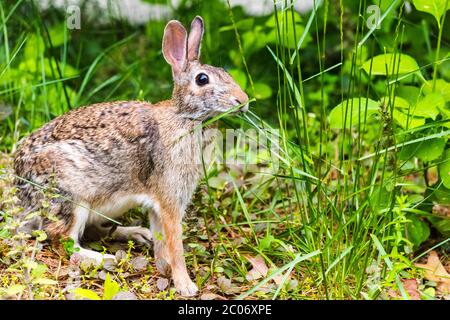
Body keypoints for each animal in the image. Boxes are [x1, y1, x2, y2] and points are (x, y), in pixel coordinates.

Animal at [13, 16, 250, 298]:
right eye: (202, 79)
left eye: (226, 73)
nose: (243, 100)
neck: (183, 117)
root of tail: (21, 192)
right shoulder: (170, 201)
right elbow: (176, 245)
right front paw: (186, 285)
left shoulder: (159, 205)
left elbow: (162, 242)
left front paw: (163, 268)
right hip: (71, 196)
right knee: (63, 241)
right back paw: (103, 259)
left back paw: (137, 233)